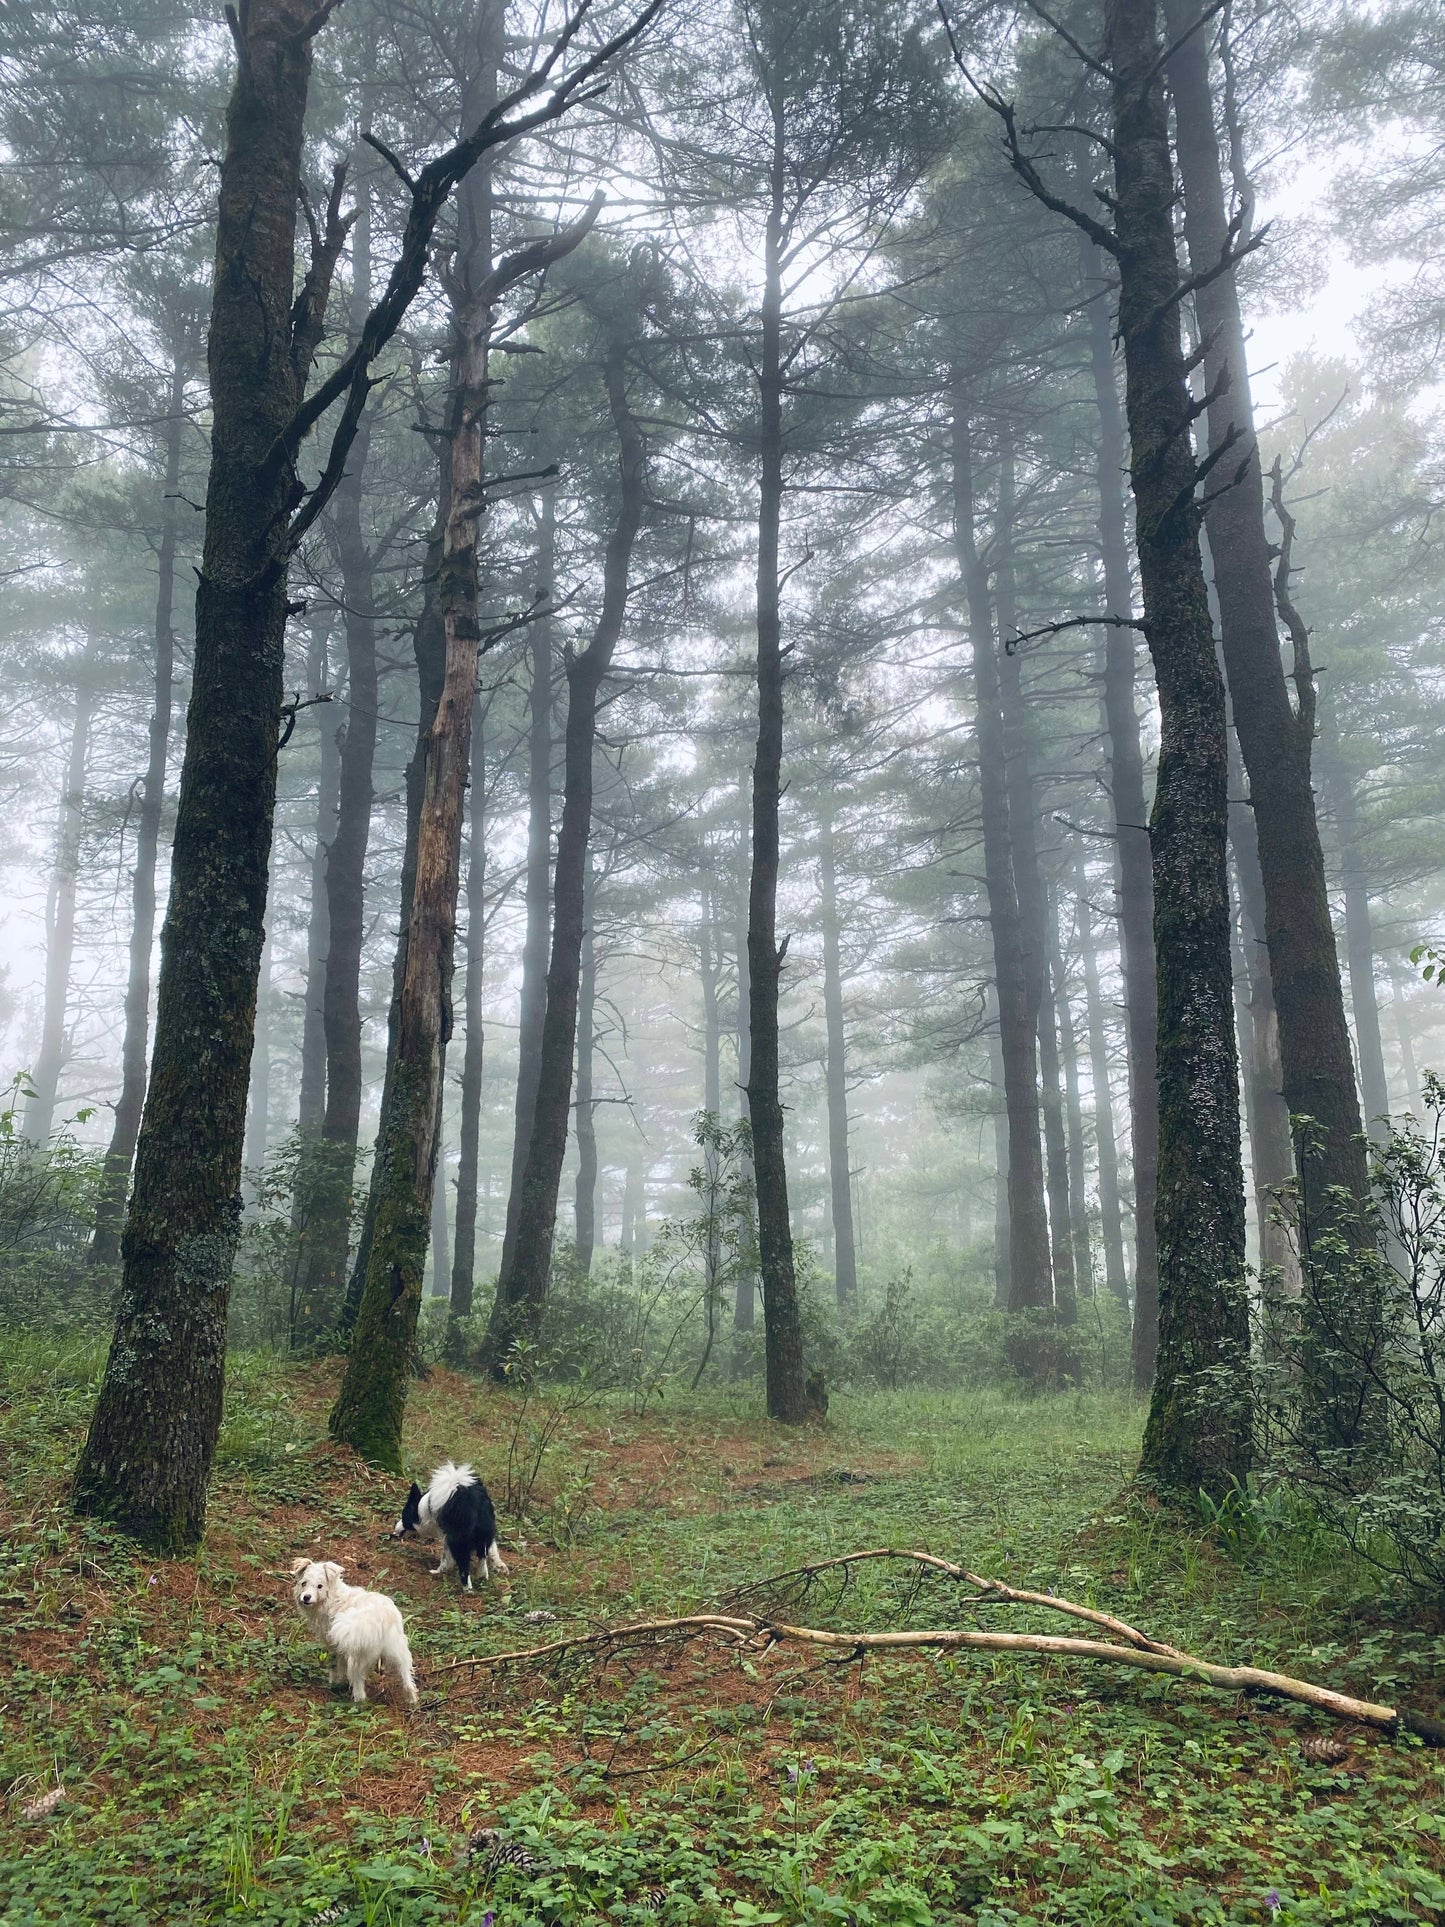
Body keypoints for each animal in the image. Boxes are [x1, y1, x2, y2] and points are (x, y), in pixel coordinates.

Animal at [290, 1557, 418, 1711]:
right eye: (304, 1583)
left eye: (320, 1586)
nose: (306, 1597)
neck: (332, 1599)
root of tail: (378, 1617)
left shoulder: (334, 1646)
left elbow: (334, 1665)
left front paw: (334, 1682)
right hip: (399, 1652)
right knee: (408, 1682)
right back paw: (412, 1702)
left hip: (357, 1660)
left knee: (359, 1688)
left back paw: (357, 1704)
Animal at [396, 1456, 508, 1595]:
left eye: (403, 1516)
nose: (394, 1529)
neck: (425, 1508)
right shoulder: (487, 1534)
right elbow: (491, 1549)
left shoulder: (448, 1537)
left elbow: (446, 1558)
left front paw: (438, 1571)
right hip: (484, 1530)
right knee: (482, 1558)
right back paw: (483, 1578)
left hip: (458, 1539)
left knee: (464, 1567)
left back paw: (467, 1590)